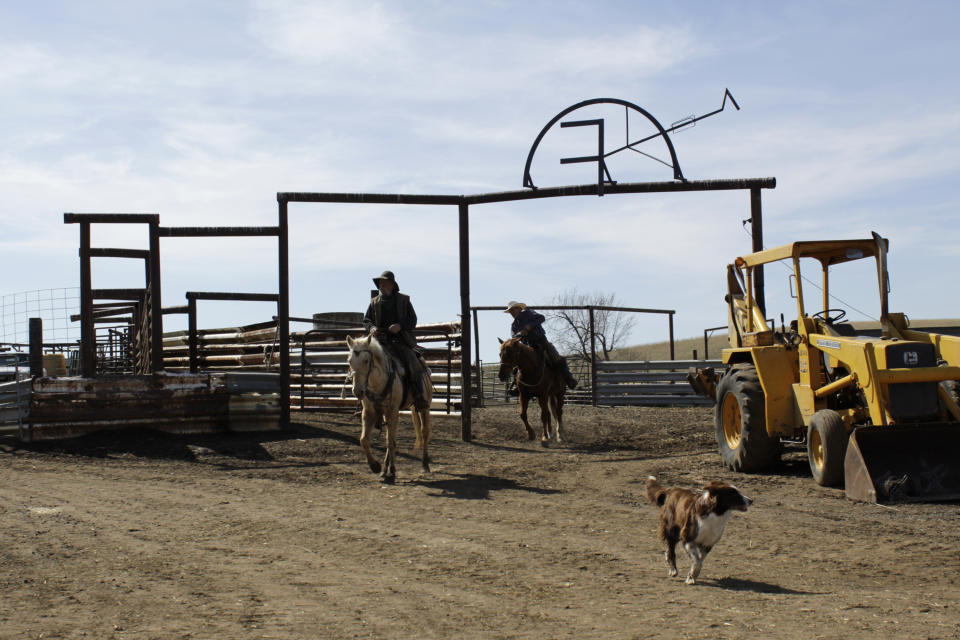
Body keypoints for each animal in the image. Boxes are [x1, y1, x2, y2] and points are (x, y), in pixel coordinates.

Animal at [346, 332, 434, 482]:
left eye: (366, 361)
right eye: (350, 361)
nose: (358, 391)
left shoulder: (392, 411)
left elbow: (390, 442)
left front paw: (392, 469)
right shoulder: (369, 412)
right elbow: (364, 440)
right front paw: (376, 466)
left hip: (424, 407)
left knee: (424, 432)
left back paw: (425, 465)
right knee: (389, 436)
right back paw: (384, 469)